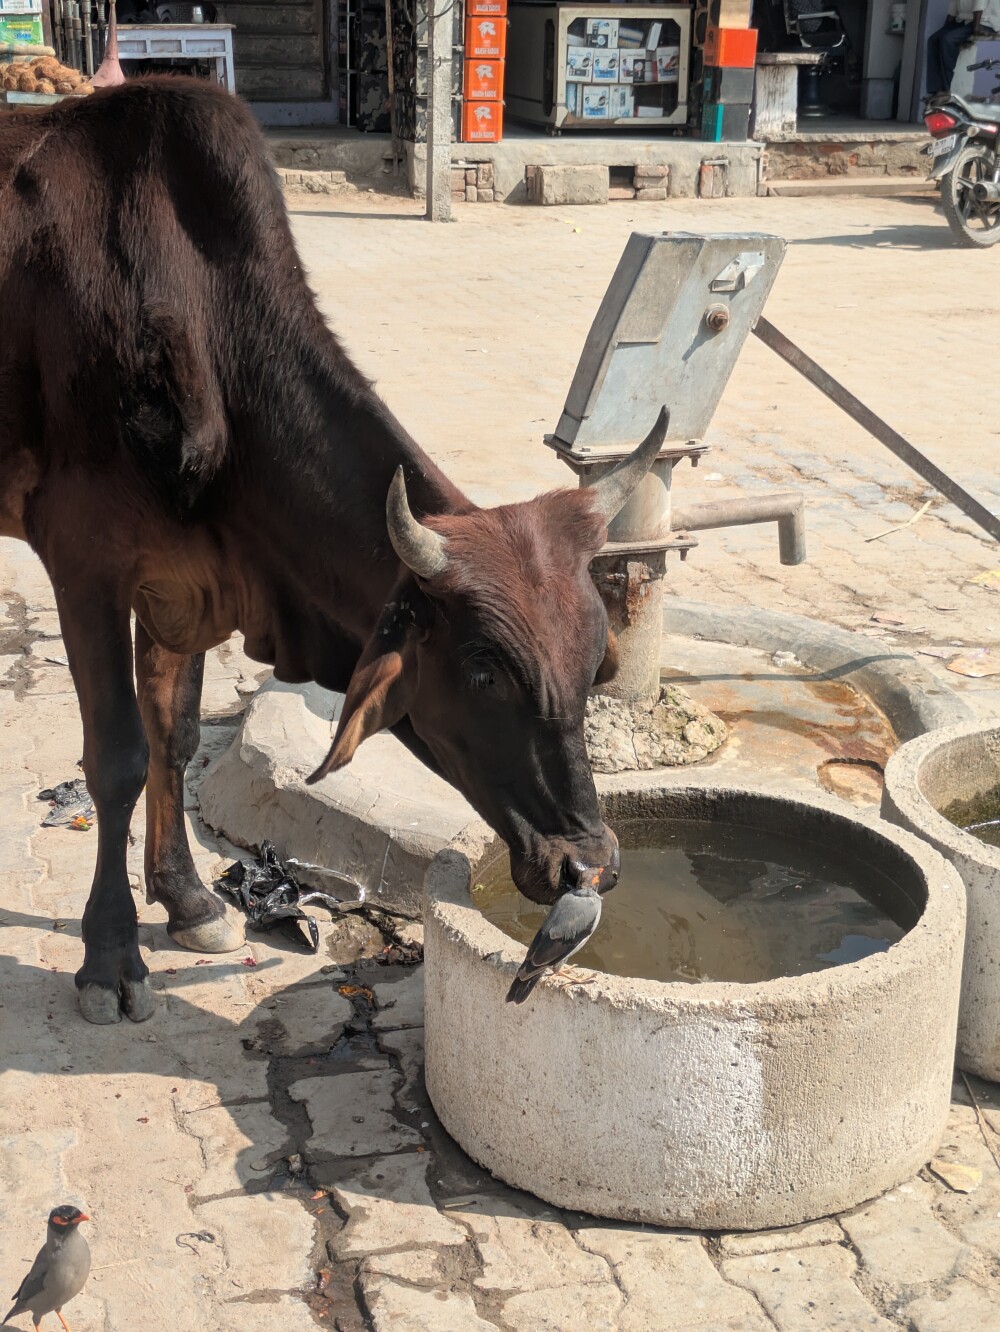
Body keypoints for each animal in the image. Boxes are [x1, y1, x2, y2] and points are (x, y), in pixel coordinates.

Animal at [0, 79, 666, 1024]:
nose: (589, 865)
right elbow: (118, 759)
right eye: (482, 672)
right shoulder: (84, 565)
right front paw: (111, 958)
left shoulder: (181, 583)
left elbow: (176, 737)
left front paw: (190, 902)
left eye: (596, 655)